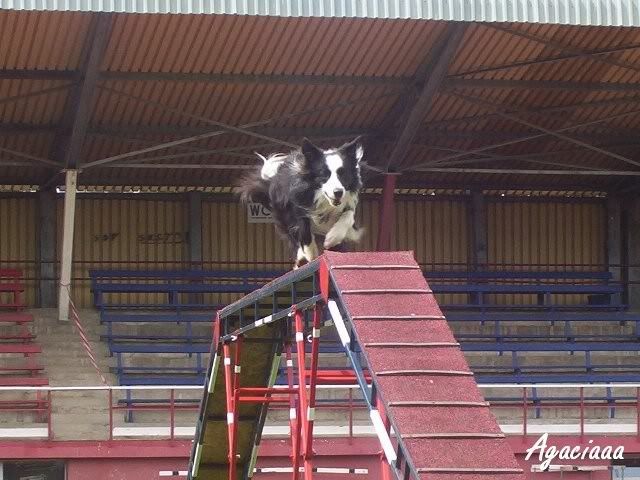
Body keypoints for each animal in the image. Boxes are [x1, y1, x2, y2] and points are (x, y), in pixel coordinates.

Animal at [239, 137, 364, 268]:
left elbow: (348, 216)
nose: (338, 192)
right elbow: (303, 226)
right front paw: (310, 252)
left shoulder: (347, 205)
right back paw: (301, 258)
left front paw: (332, 238)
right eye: (324, 175)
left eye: (343, 175)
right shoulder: (296, 204)